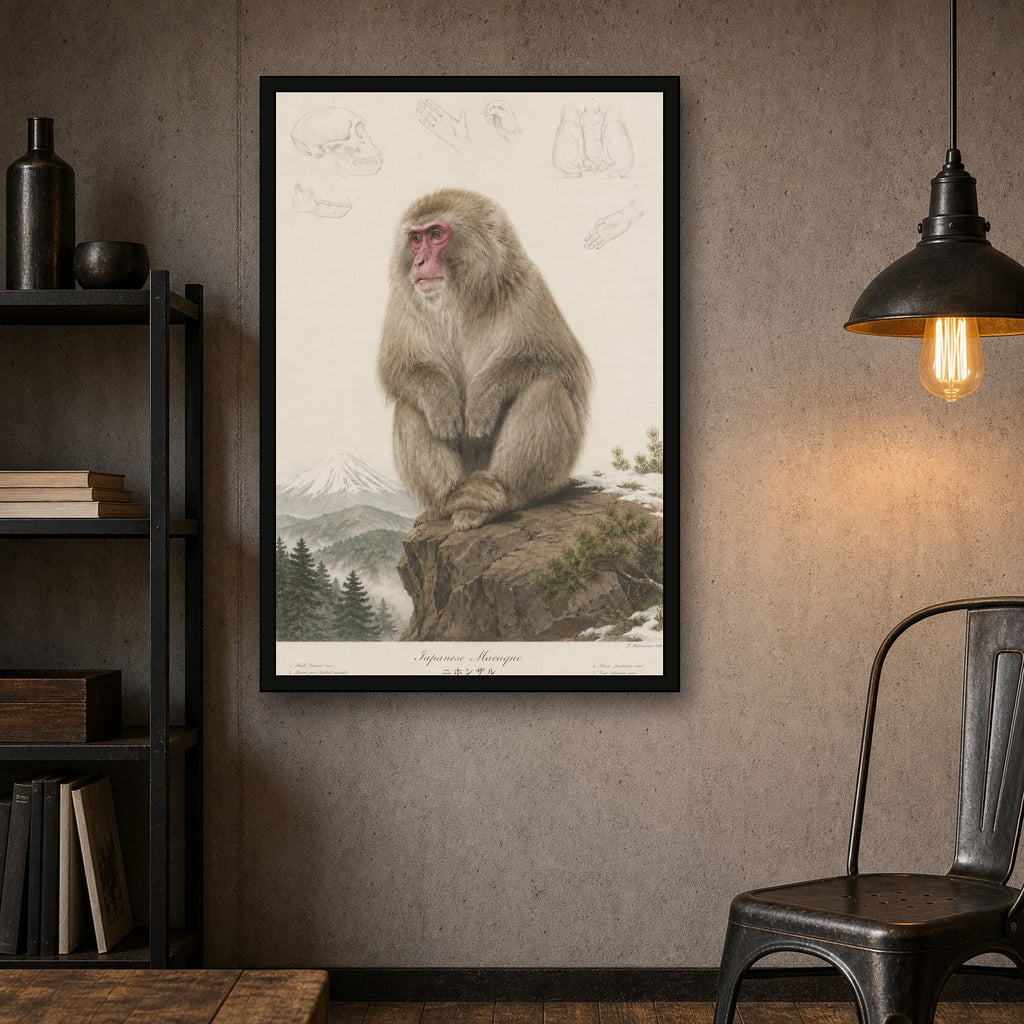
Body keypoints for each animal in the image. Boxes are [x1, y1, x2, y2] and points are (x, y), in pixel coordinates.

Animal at [377, 187, 593, 532]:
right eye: (415, 238)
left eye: (436, 235)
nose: (419, 261)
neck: (461, 297)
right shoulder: (403, 300)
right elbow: (400, 368)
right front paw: (442, 402)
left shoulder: (529, 288)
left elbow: (557, 362)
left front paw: (483, 399)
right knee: (409, 406)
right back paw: (454, 497)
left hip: (548, 477)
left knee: (544, 389)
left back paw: (502, 497)